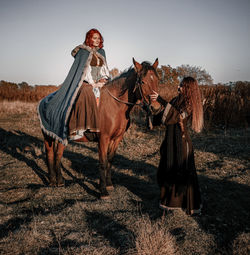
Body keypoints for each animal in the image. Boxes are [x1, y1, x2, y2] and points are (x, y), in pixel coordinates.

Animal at [43, 58, 160, 199]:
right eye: (142, 81)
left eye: (157, 80)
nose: (156, 108)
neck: (116, 105)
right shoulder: (103, 139)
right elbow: (103, 162)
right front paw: (103, 191)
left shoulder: (116, 139)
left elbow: (110, 160)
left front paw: (109, 184)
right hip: (49, 136)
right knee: (51, 154)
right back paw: (54, 181)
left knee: (57, 154)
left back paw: (57, 180)